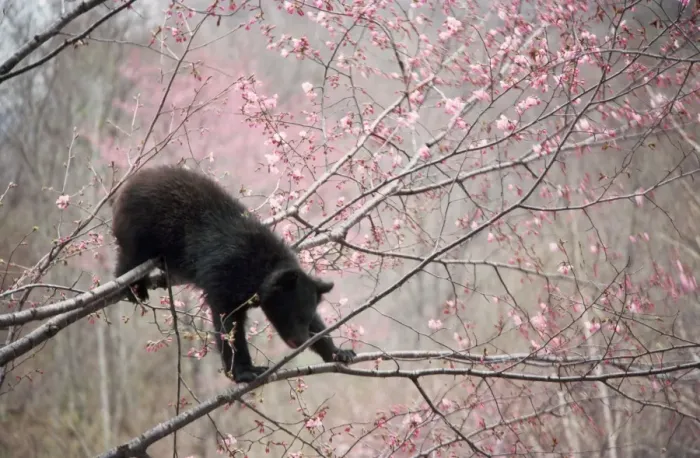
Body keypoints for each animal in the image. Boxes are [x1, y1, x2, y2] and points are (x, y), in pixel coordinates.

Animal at [110, 165, 355, 383]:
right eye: (291, 312)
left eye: (307, 316)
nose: (301, 341)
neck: (260, 269)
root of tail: (128, 185)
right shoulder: (225, 276)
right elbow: (227, 324)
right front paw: (245, 372)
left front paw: (339, 351)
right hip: (139, 230)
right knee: (129, 259)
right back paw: (134, 289)